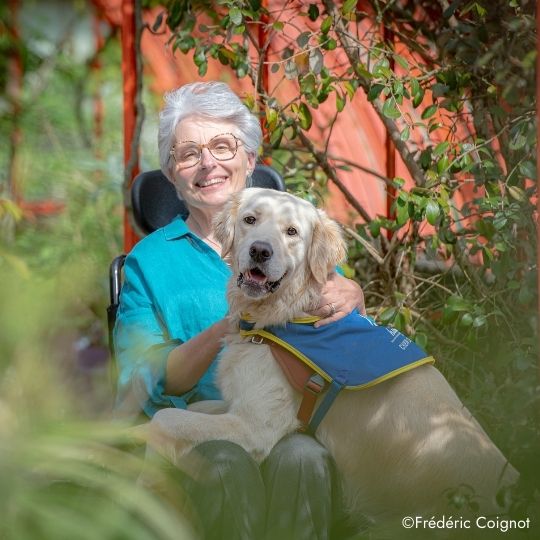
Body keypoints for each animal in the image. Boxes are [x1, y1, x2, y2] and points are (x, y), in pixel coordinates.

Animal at [147, 188, 520, 524]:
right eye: (250, 220)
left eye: (292, 232)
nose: (260, 251)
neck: (288, 313)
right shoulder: (237, 405)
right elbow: (189, 409)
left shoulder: (254, 427)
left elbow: (165, 418)